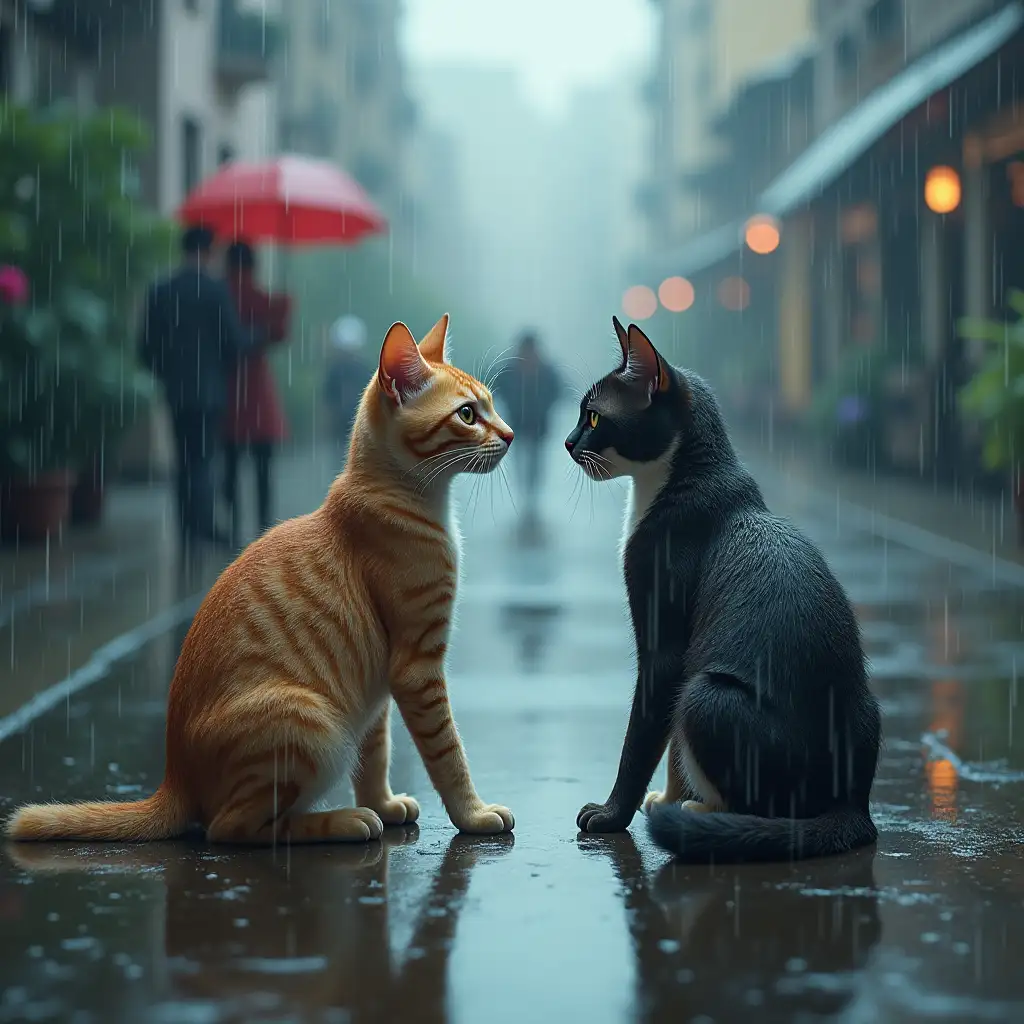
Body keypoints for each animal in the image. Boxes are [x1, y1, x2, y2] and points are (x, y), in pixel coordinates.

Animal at [6, 315, 520, 843]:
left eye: (492, 406)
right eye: (467, 414)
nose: (511, 433)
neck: (409, 498)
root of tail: (175, 778)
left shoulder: (378, 687)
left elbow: (375, 754)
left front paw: (383, 800)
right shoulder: (416, 666)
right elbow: (447, 753)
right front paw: (473, 813)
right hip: (311, 724)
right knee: (231, 827)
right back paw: (341, 820)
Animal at [561, 315, 880, 860]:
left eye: (595, 418)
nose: (566, 440)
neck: (681, 482)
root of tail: (852, 804)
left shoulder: (667, 644)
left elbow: (644, 737)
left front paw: (612, 814)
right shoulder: (683, 655)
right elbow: (670, 748)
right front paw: (667, 795)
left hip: (707, 695)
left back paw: (701, 813)